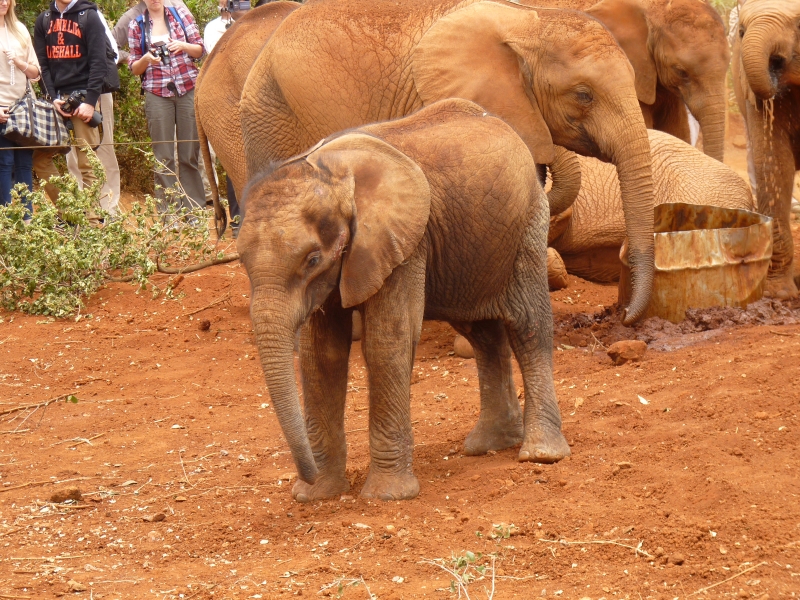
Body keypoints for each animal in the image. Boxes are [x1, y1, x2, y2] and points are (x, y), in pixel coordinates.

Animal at [237, 99, 565, 502]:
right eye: (241, 261)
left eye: (312, 259)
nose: (305, 476)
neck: (330, 173)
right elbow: (321, 355)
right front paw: (318, 496)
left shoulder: (404, 243)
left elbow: (386, 343)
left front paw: (385, 496)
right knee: (482, 333)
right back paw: (488, 445)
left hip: (528, 221)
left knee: (528, 326)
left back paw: (540, 454)